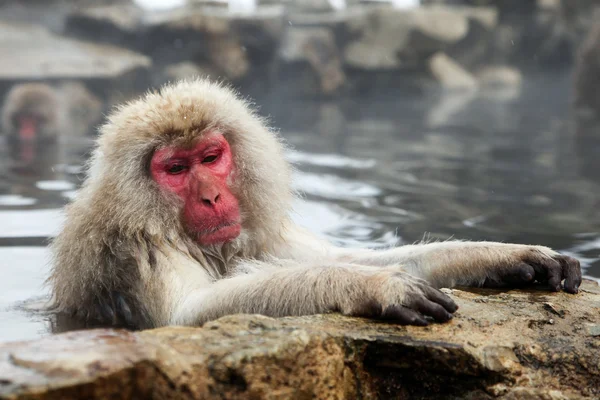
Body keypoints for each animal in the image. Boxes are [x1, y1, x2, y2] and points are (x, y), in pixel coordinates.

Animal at [49, 79, 584, 330]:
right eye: (176, 169)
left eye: (210, 157)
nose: (211, 195)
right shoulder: (136, 247)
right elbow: (186, 315)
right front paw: (373, 287)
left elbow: (340, 257)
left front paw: (509, 255)